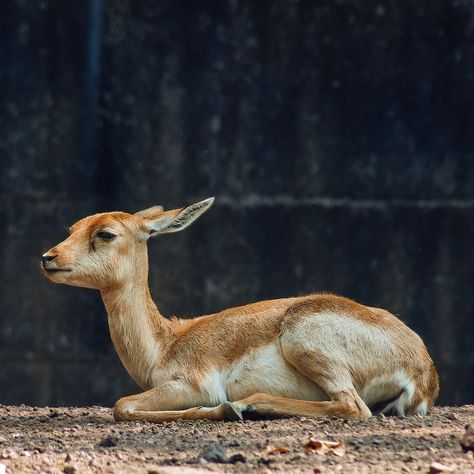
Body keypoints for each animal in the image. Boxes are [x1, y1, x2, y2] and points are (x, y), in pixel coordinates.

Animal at [41, 196, 440, 422]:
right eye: (73, 227)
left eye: (105, 233)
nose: (49, 257)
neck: (165, 343)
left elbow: (122, 405)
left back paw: (247, 407)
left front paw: (222, 410)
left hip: (306, 342)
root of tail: (423, 370)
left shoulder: (192, 384)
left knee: (353, 407)